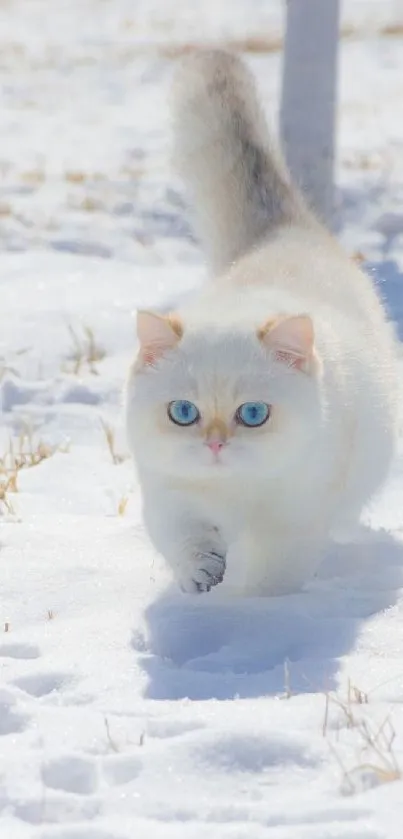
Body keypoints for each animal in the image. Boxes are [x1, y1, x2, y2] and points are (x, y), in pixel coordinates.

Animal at [125, 49, 398, 596]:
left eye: (253, 414)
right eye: (182, 412)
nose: (214, 444)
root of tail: (284, 231)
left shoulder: (293, 520)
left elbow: (272, 574)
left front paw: (252, 611)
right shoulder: (168, 497)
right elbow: (185, 541)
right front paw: (202, 577)